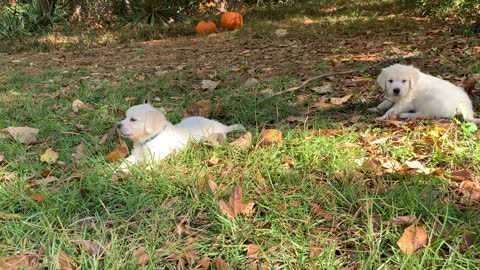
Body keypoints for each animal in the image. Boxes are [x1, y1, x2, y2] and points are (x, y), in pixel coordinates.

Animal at [116, 103, 244, 171]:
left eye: (133, 119)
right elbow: (128, 160)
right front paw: (119, 169)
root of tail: (223, 127)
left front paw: (144, 170)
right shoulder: (136, 155)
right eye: (125, 116)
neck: (146, 141)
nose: (118, 125)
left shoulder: (158, 156)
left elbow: (151, 165)